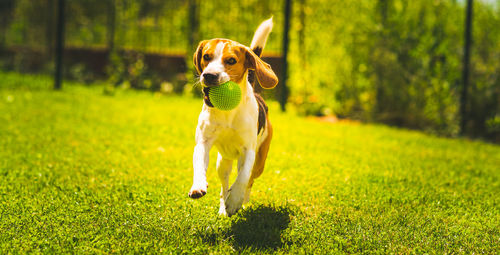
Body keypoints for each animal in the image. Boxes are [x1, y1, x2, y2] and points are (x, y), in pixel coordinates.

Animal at [189, 17, 280, 216]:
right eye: (206, 56)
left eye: (231, 60)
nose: (209, 75)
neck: (227, 111)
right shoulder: (203, 143)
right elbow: (199, 164)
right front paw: (198, 186)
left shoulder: (249, 151)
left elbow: (243, 177)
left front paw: (235, 200)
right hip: (222, 162)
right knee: (224, 185)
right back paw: (224, 206)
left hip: (259, 163)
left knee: (249, 179)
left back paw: (242, 200)